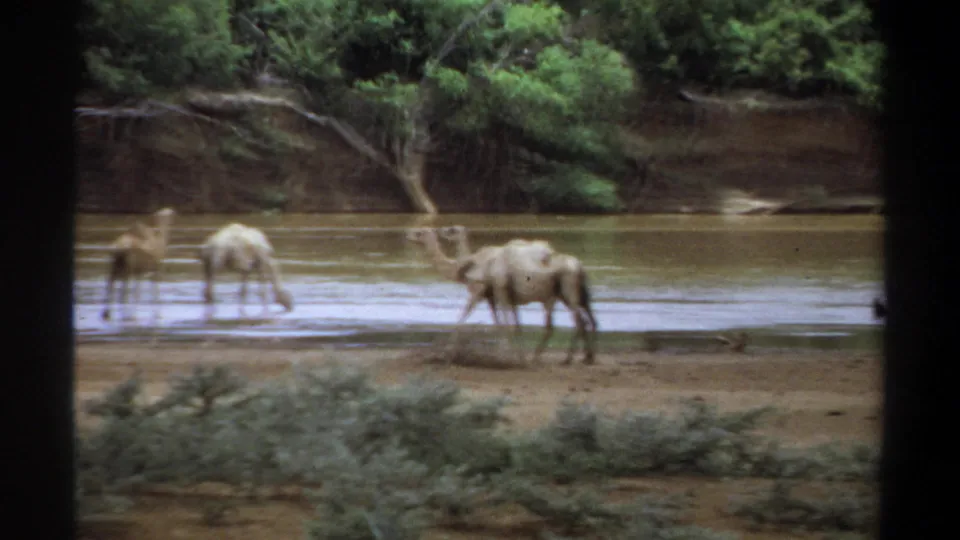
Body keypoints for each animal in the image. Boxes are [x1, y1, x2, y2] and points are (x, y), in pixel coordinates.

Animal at [441, 225, 598, 365]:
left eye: (453, 230)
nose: (441, 232)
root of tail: (579, 266)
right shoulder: (503, 297)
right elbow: (514, 325)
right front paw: (517, 356)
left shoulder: (497, 291)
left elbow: (503, 323)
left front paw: (506, 356)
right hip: (566, 295)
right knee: (582, 320)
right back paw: (585, 357)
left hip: (567, 292)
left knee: (577, 322)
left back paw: (566, 359)